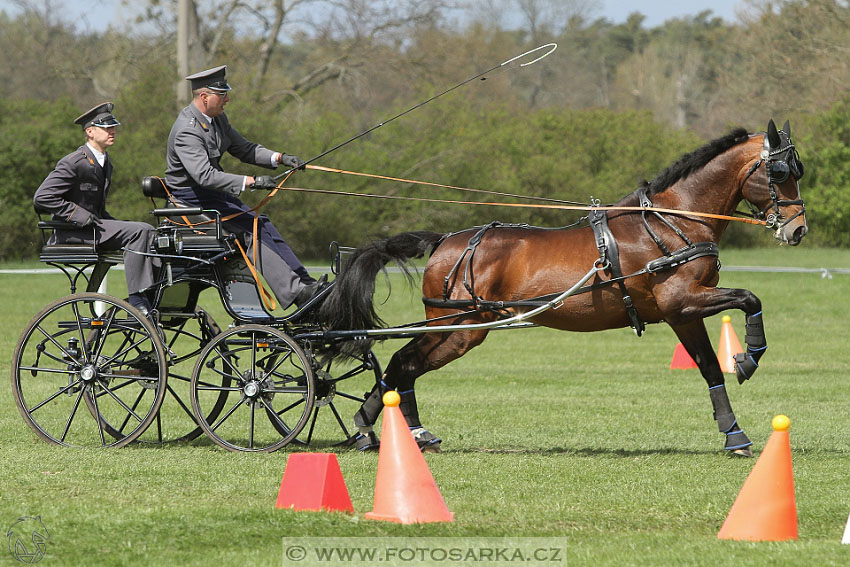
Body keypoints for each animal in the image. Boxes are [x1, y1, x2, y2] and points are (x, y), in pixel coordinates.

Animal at [316, 120, 800, 458]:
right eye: (778, 172)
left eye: (797, 169)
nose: (797, 230)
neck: (671, 220)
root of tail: (445, 241)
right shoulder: (683, 302)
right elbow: (749, 300)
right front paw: (748, 357)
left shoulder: (681, 314)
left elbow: (710, 368)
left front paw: (733, 433)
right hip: (460, 327)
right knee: (404, 362)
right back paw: (373, 425)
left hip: (458, 328)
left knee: (406, 364)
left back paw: (397, 429)